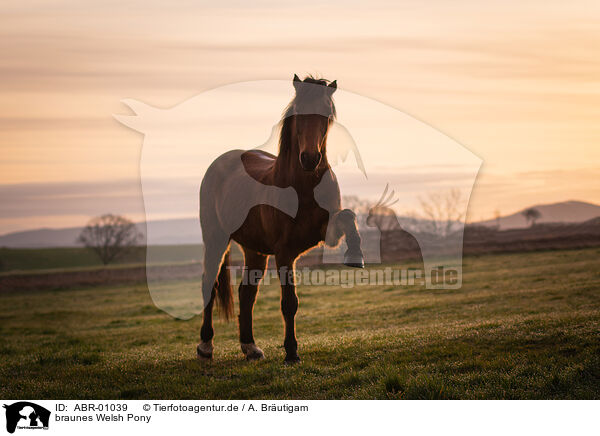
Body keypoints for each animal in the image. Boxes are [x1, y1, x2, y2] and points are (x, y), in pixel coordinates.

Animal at [199, 76, 364, 364]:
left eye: (326, 112)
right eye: (297, 110)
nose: (310, 159)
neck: (302, 186)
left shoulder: (328, 232)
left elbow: (347, 215)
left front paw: (356, 254)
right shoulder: (284, 252)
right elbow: (289, 303)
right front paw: (291, 352)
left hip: (254, 250)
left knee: (246, 293)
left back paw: (250, 347)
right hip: (215, 239)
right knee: (209, 283)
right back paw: (206, 346)